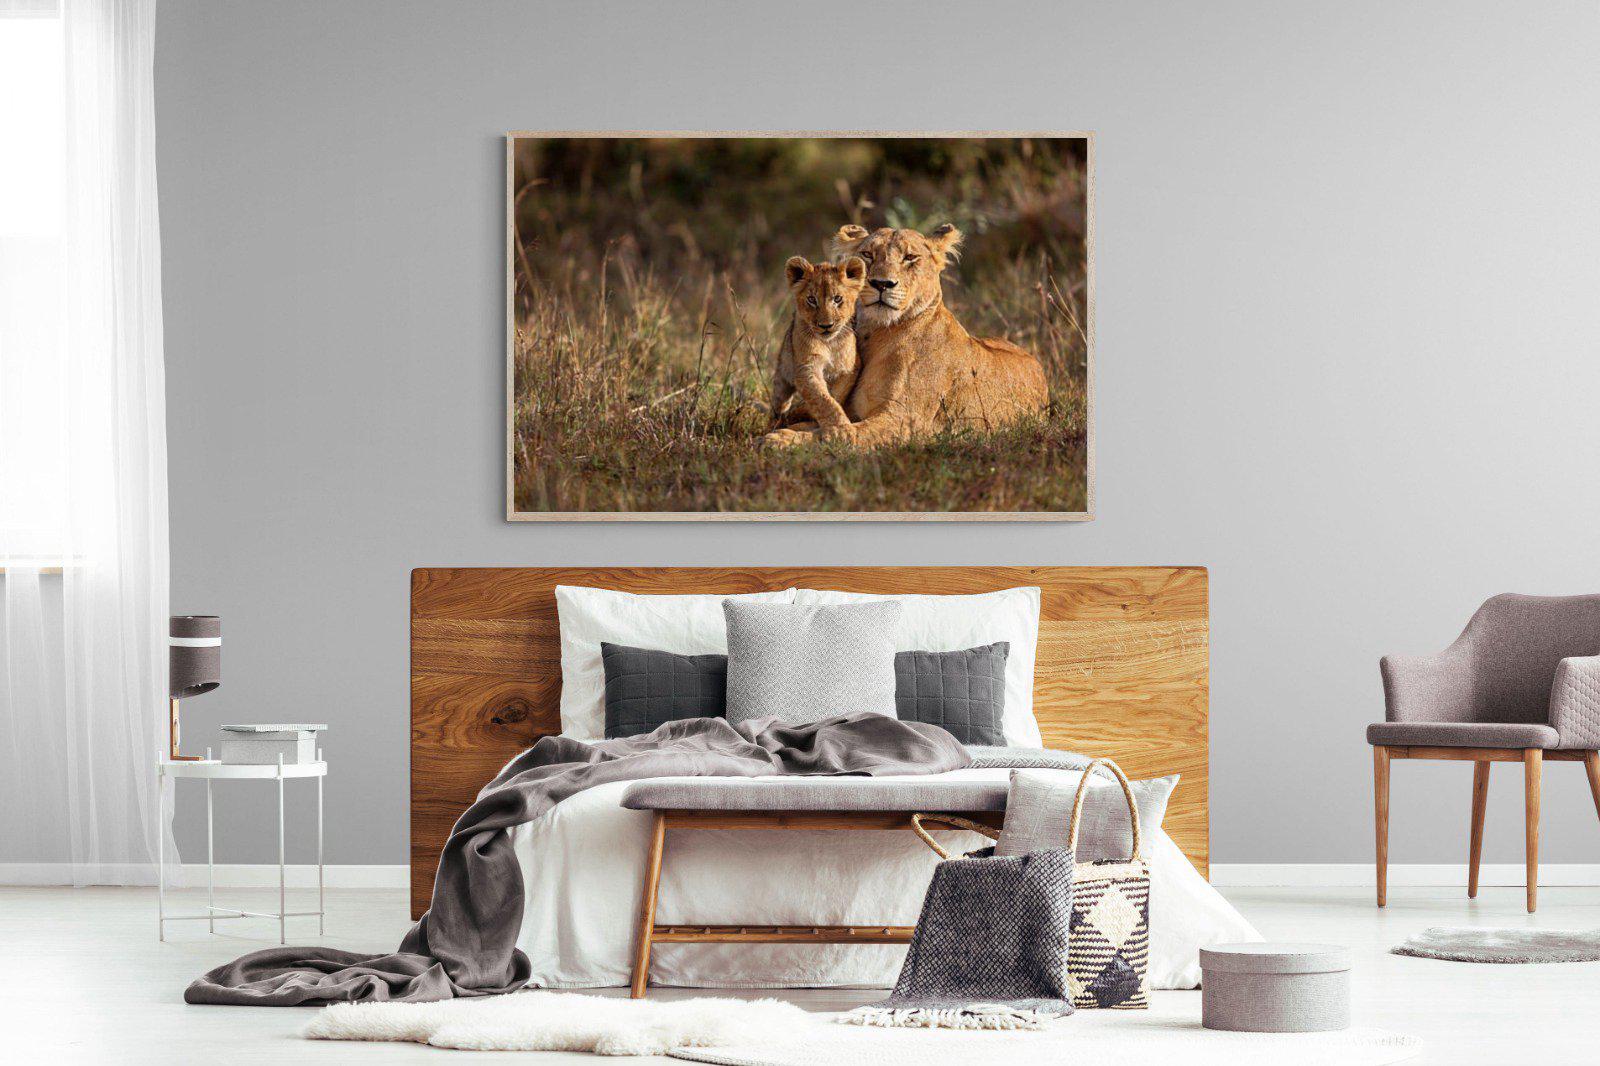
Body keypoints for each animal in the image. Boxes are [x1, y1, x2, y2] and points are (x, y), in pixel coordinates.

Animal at [769, 255, 867, 430]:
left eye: (837, 299)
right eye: (811, 300)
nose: (826, 326)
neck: (829, 344)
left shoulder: (850, 368)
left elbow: (835, 395)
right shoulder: (806, 367)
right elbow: (822, 399)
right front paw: (841, 428)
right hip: (782, 376)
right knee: (778, 405)